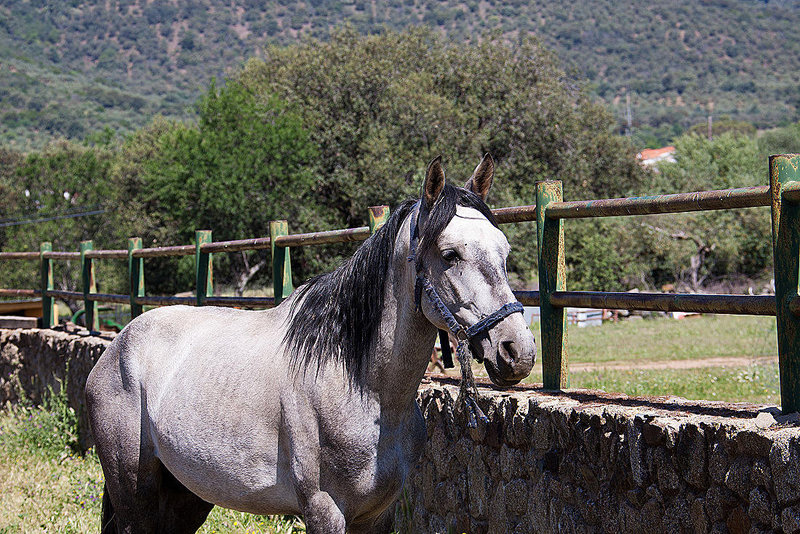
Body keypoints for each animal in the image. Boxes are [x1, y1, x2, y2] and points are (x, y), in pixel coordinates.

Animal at [86, 154, 536, 532]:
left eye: (504, 250)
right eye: (449, 254)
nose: (517, 351)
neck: (362, 387)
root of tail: (118, 345)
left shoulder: (380, 515)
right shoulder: (324, 511)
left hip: (186, 494)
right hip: (135, 493)